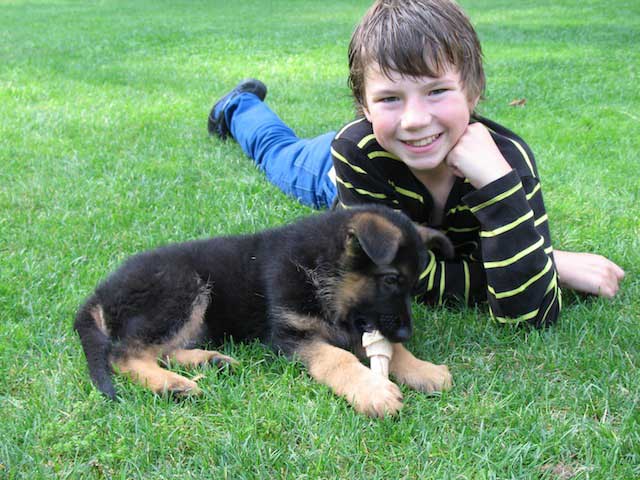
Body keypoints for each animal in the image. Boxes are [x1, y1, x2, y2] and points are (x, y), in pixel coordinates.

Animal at [74, 205, 456, 416]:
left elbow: (384, 347)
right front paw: (373, 391)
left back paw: (209, 361)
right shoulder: (290, 334)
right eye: (391, 280)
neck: (321, 270)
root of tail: (100, 291)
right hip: (181, 287)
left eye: (413, 286)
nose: (408, 332)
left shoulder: (358, 322)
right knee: (125, 354)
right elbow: (339, 358)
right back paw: (172, 385)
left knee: (160, 350)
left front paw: (422, 369)